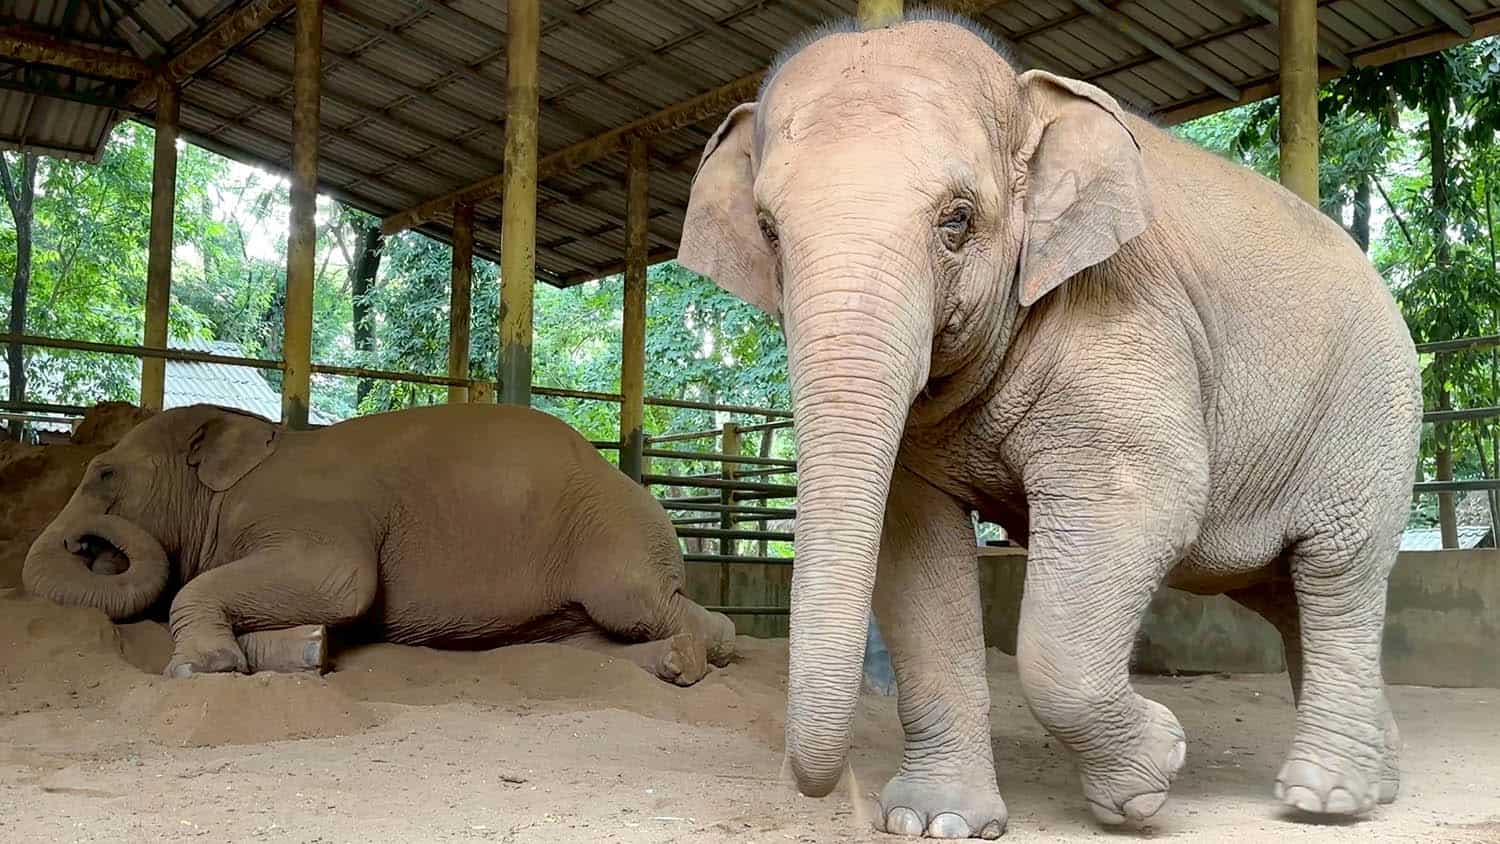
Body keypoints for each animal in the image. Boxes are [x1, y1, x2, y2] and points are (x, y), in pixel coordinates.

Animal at [22, 402, 737, 685]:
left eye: (103, 473)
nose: (85, 540)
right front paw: (308, 649)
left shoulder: (317, 516)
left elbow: (344, 583)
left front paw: (204, 668)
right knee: (582, 643)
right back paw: (679, 659)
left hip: (615, 539)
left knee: (645, 607)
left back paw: (698, 653)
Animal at [677, 13, 1421, 839]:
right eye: (769, 231)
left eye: (957, 220)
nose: (841, 798)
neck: (1027, 94)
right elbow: (913, 543)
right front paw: (937, 821)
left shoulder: (1125, 321)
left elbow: (1142, 500)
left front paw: (1150, 779)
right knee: (1285, 595)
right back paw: (1380, 779)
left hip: (1372, 420)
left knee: (1336, 576)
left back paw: (1326, 800)